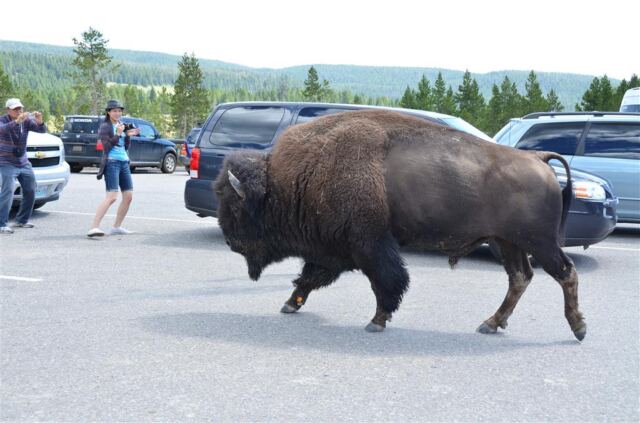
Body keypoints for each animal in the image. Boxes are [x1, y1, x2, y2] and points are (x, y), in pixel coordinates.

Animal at [214, 110, 586, 340]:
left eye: (235, 206)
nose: (230, 242)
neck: (288, 180)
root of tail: (537, 158)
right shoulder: (333, 250)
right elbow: (310, 277)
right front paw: (290, 304)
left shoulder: (369, 245)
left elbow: (387, 281)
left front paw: (376, 322)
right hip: (506, 242)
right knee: (520, 277)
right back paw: (490, 324)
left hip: (539, 243)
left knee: (565, 272)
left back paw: (578, 329)